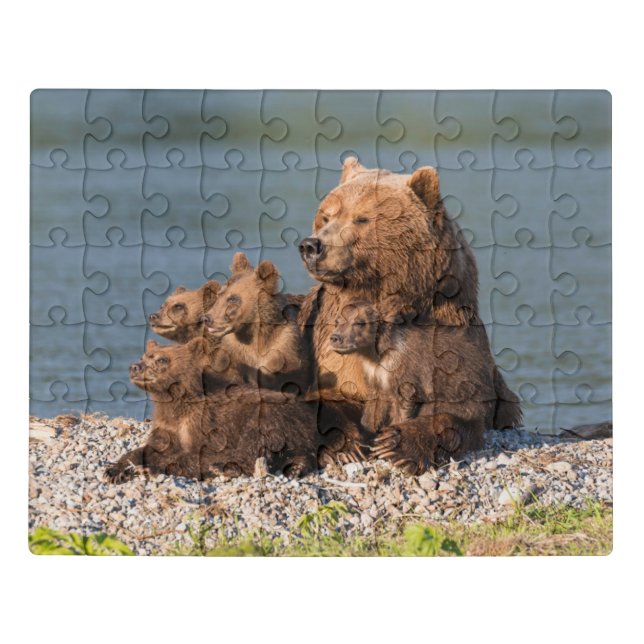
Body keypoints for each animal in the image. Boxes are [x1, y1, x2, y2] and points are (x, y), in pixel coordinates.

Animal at [104, 338, 343, 483]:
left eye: (163, 359)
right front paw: (115, 469)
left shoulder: (207, 424)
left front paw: (151, 468)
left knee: (254, 448)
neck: (175, 401)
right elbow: (151, 447)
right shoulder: (168, 425)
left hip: (271, 419)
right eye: (143, 356)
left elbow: (198, 453)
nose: (135, 367)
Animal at [297, 157, 522, 473]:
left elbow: (458, 407)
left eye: (361, 218)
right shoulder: (329, 349)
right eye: (326, 217)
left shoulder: (448, 337)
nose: (311, 246)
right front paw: (347, 447)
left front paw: (396, 444)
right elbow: (330, 396)